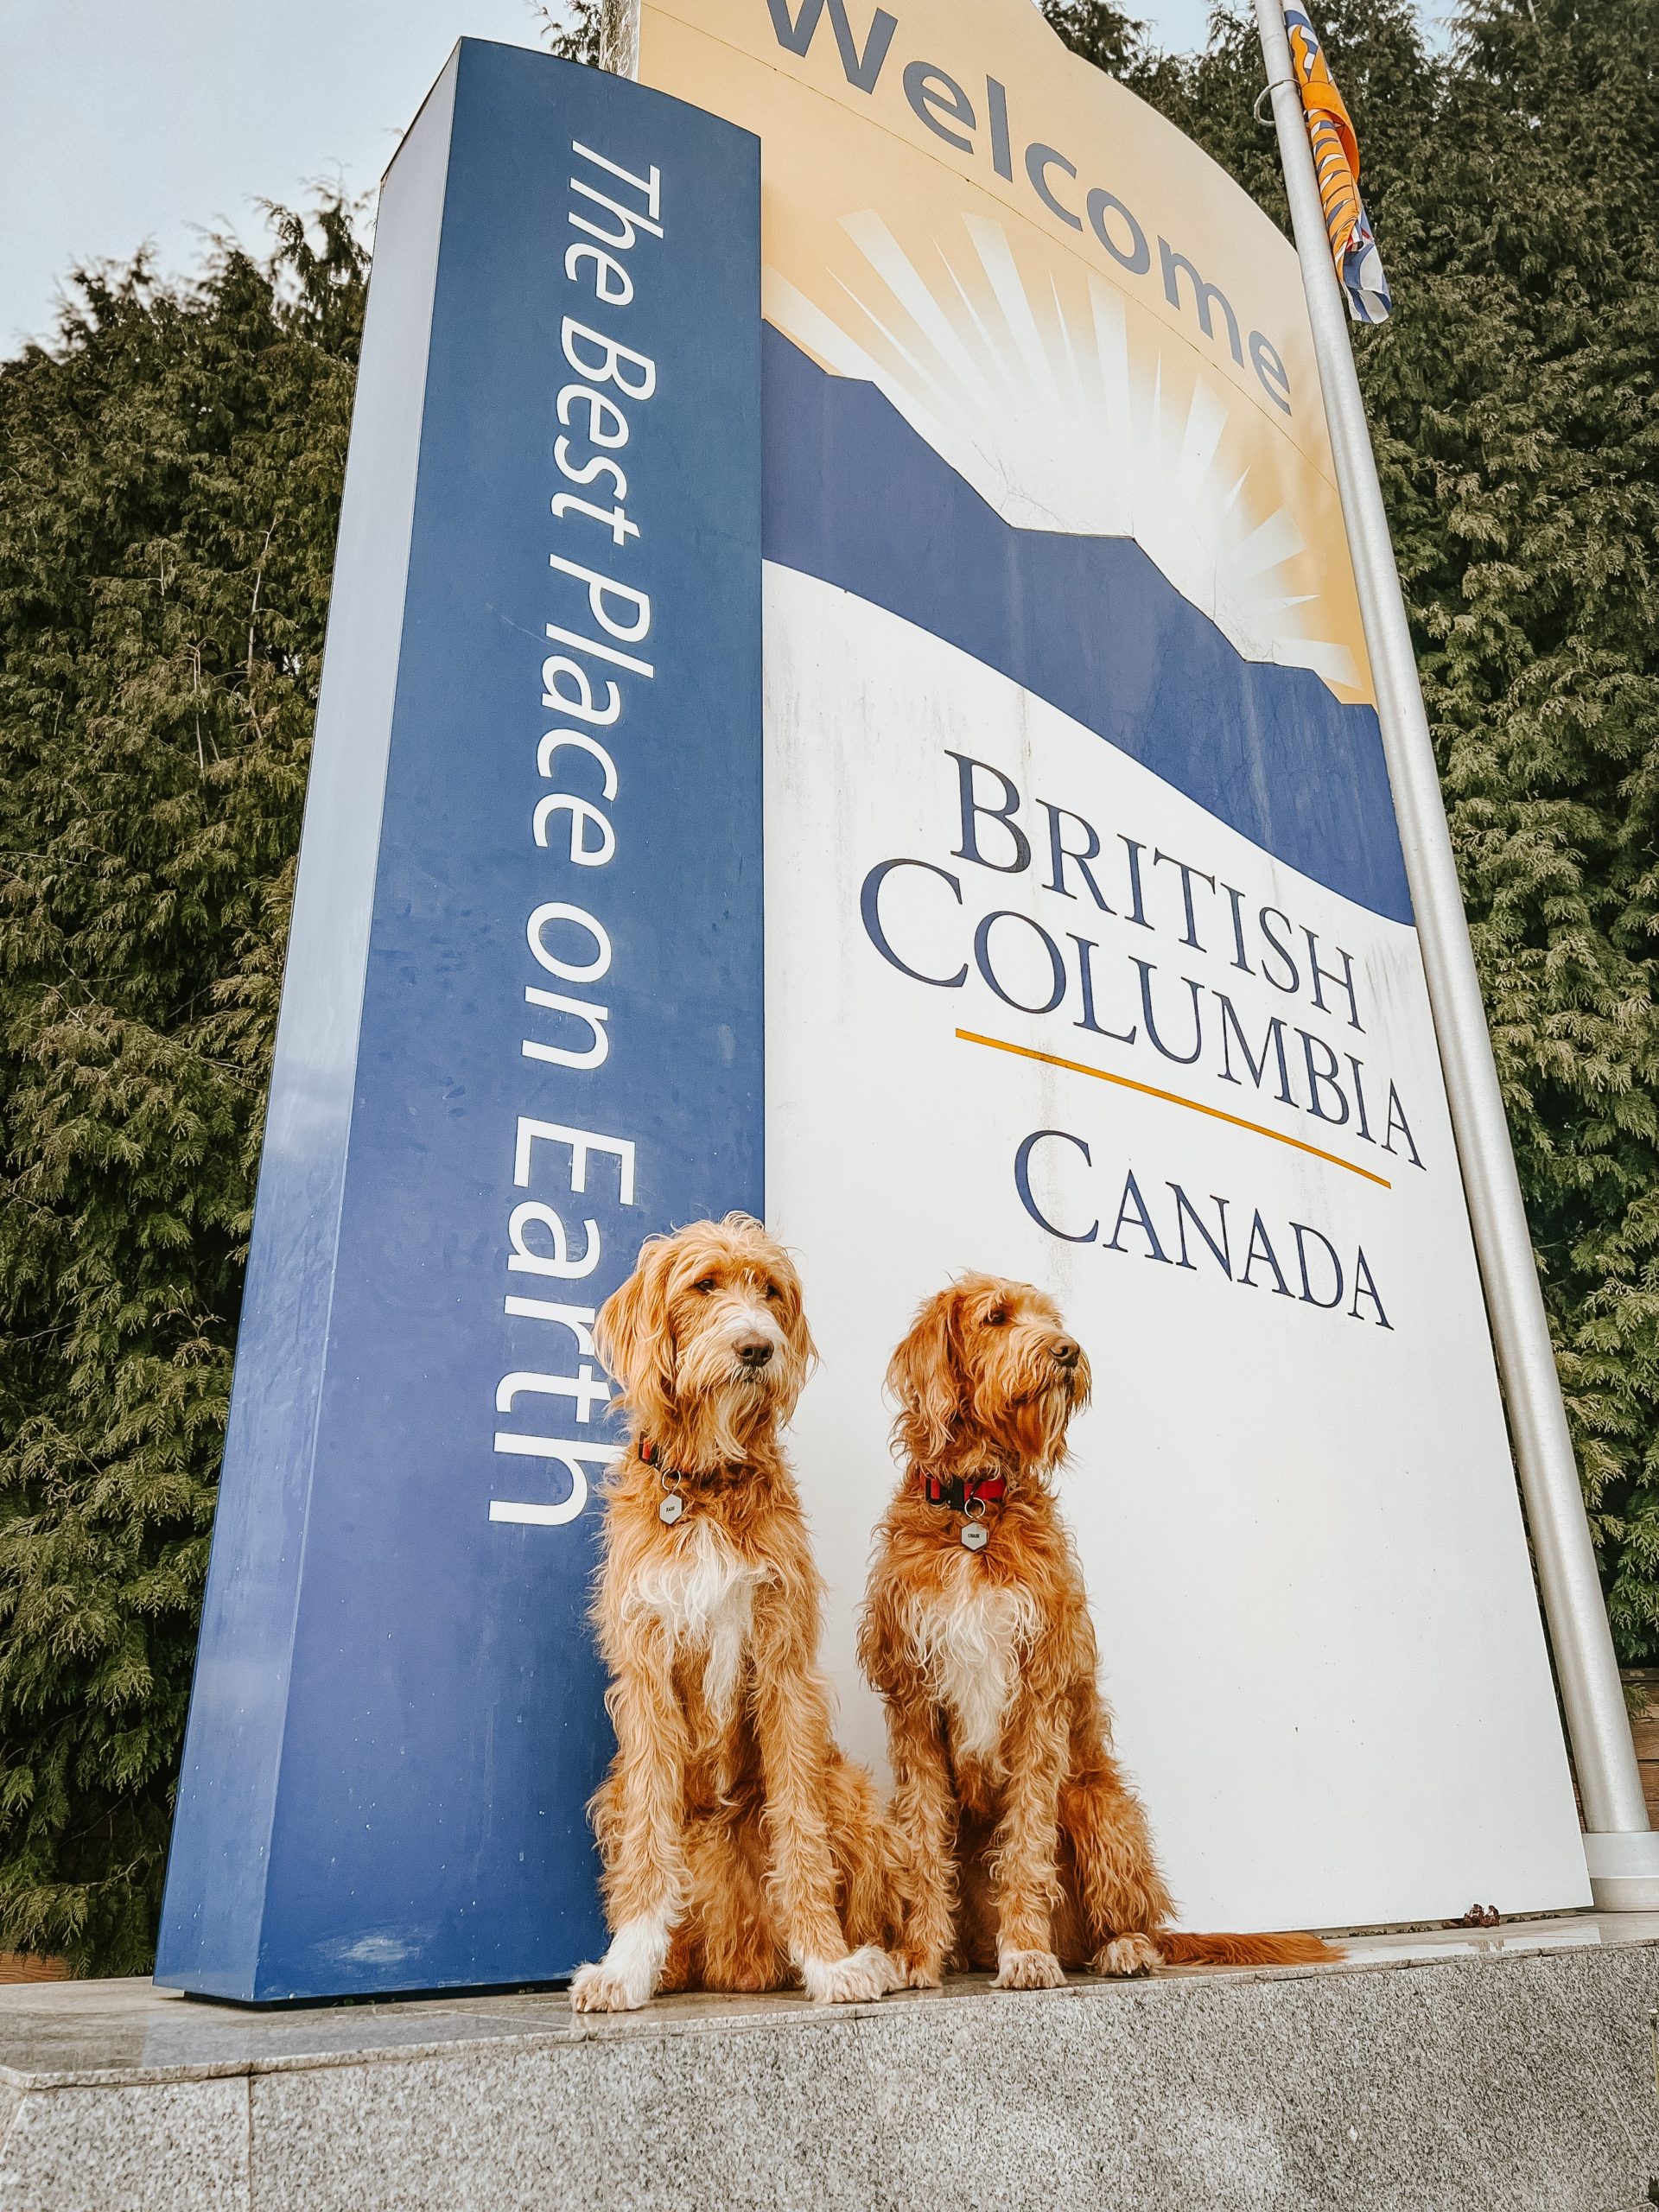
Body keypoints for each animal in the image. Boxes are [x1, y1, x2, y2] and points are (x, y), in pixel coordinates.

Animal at [579, 1221, 902, 2017]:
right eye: (704, 1286)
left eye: (771, 1292)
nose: (757, 1348)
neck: (702, 1485)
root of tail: (739, 1964)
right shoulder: (647, 1675)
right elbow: (649, 1841)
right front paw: (625, 1968)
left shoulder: (785, 1666)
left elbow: (802, 1834)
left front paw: (829, 1963)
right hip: (612, 1791)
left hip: (850, 1789)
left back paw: (877, 1958)